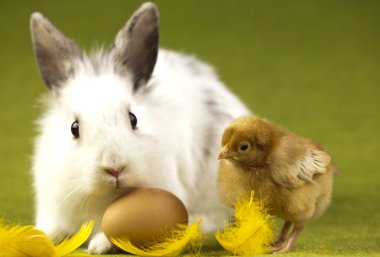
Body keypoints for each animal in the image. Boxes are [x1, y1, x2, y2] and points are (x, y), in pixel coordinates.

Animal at [29, 1, 249, 254]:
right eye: (74, 128)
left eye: (133, 119)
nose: (114, 168)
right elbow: (48, 230)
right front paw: (31, 237)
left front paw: (98, 246)